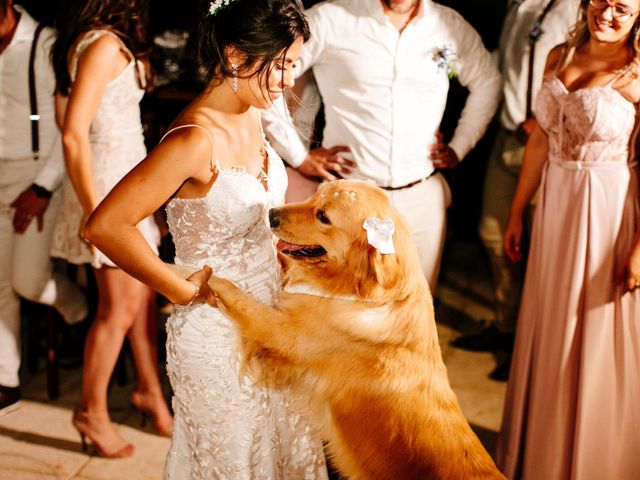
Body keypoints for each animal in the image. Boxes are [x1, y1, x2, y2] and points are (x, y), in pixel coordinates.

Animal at [181, 181, 504, 480]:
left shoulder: (283, 334)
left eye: (323, 216)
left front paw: (206, 278)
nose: (271, 214)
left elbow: (243, 299)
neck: (358, 291)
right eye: (314, 195)